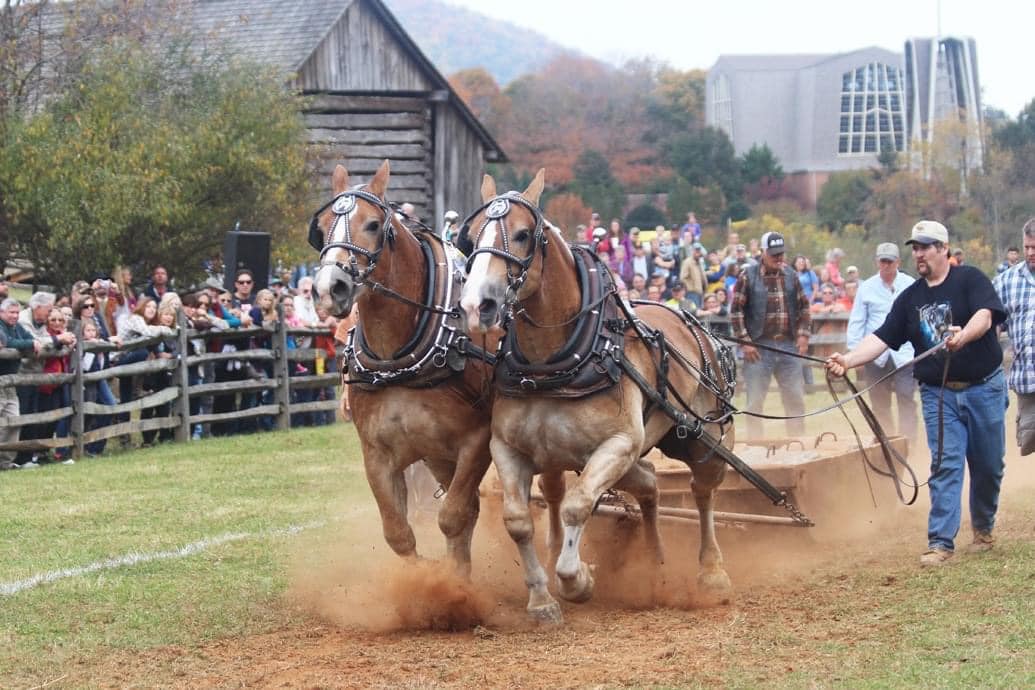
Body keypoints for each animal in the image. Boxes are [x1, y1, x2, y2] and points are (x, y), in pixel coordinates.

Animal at [310, 162, 496, 579]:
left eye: (373, 224)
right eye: (323, 225)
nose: (330, 288)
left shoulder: (478, 441)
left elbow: (454, 516)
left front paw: (450, 585)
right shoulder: (377, 453)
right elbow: (398, 533)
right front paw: (426, 577)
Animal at [459, 169, 736, 624]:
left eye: (522, 234)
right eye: (469, 236)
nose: (475, 304)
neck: (554, 363)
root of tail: (692, 319)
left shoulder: (617, 445)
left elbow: (577, 505)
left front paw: (577, 579)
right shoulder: (507, 448)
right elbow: (518, 519)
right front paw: (541, 600)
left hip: (701, 438)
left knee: (703, 490)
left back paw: (711, 572)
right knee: (650, 485)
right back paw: (653, 562)